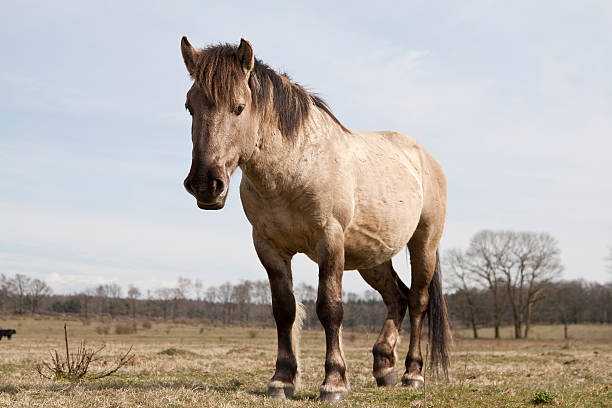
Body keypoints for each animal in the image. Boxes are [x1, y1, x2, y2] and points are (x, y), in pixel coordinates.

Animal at [179, 35, 452, 402]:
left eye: (238, 107)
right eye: (190, 107)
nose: (205, 185)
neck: (294, 166)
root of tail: (423, 157)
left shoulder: (330, 242)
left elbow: (330, 308)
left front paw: (333, 382)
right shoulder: (268, 246)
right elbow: (285, 310)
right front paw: (281, 380)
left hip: (423, 243)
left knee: (418, 301)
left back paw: (412, 373)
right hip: (371, 256)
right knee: (397, 297)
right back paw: (384, 368)